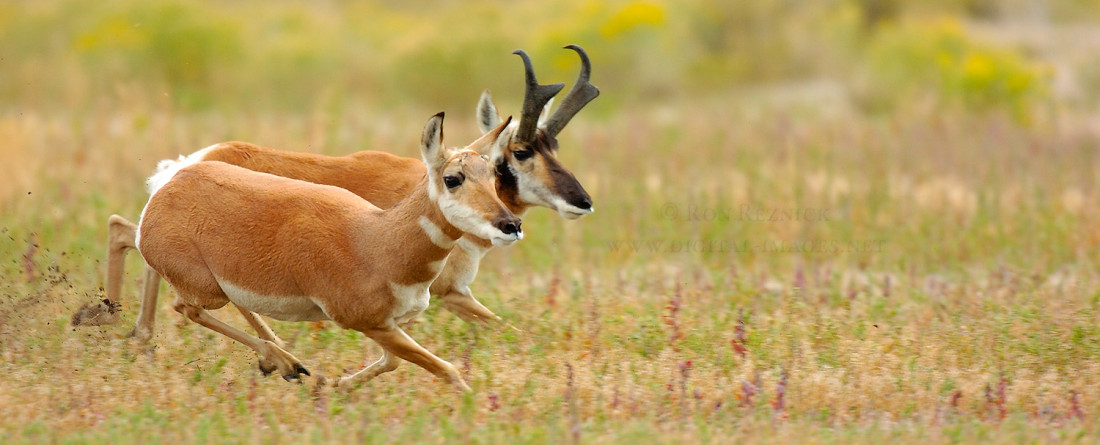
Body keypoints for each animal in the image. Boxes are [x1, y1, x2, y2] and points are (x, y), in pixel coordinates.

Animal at [80, 45, 598, 340]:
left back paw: (127, 330)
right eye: (521, 151)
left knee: (127, 233)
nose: (583, 201)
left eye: (553, 144)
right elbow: (515, 331)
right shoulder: (450, 294)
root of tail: (186, 165)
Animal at [135, 112, 517, 388]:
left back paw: (285, 363)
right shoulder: (372, 324)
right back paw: (285, 362)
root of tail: (171, 182)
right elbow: (447, 369)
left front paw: (333, 385)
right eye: (453, 178)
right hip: (208, 292)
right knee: (186, 307)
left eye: (494, 175)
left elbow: (391, 361)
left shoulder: (392, 325)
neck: (377, 238)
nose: (511, 224)